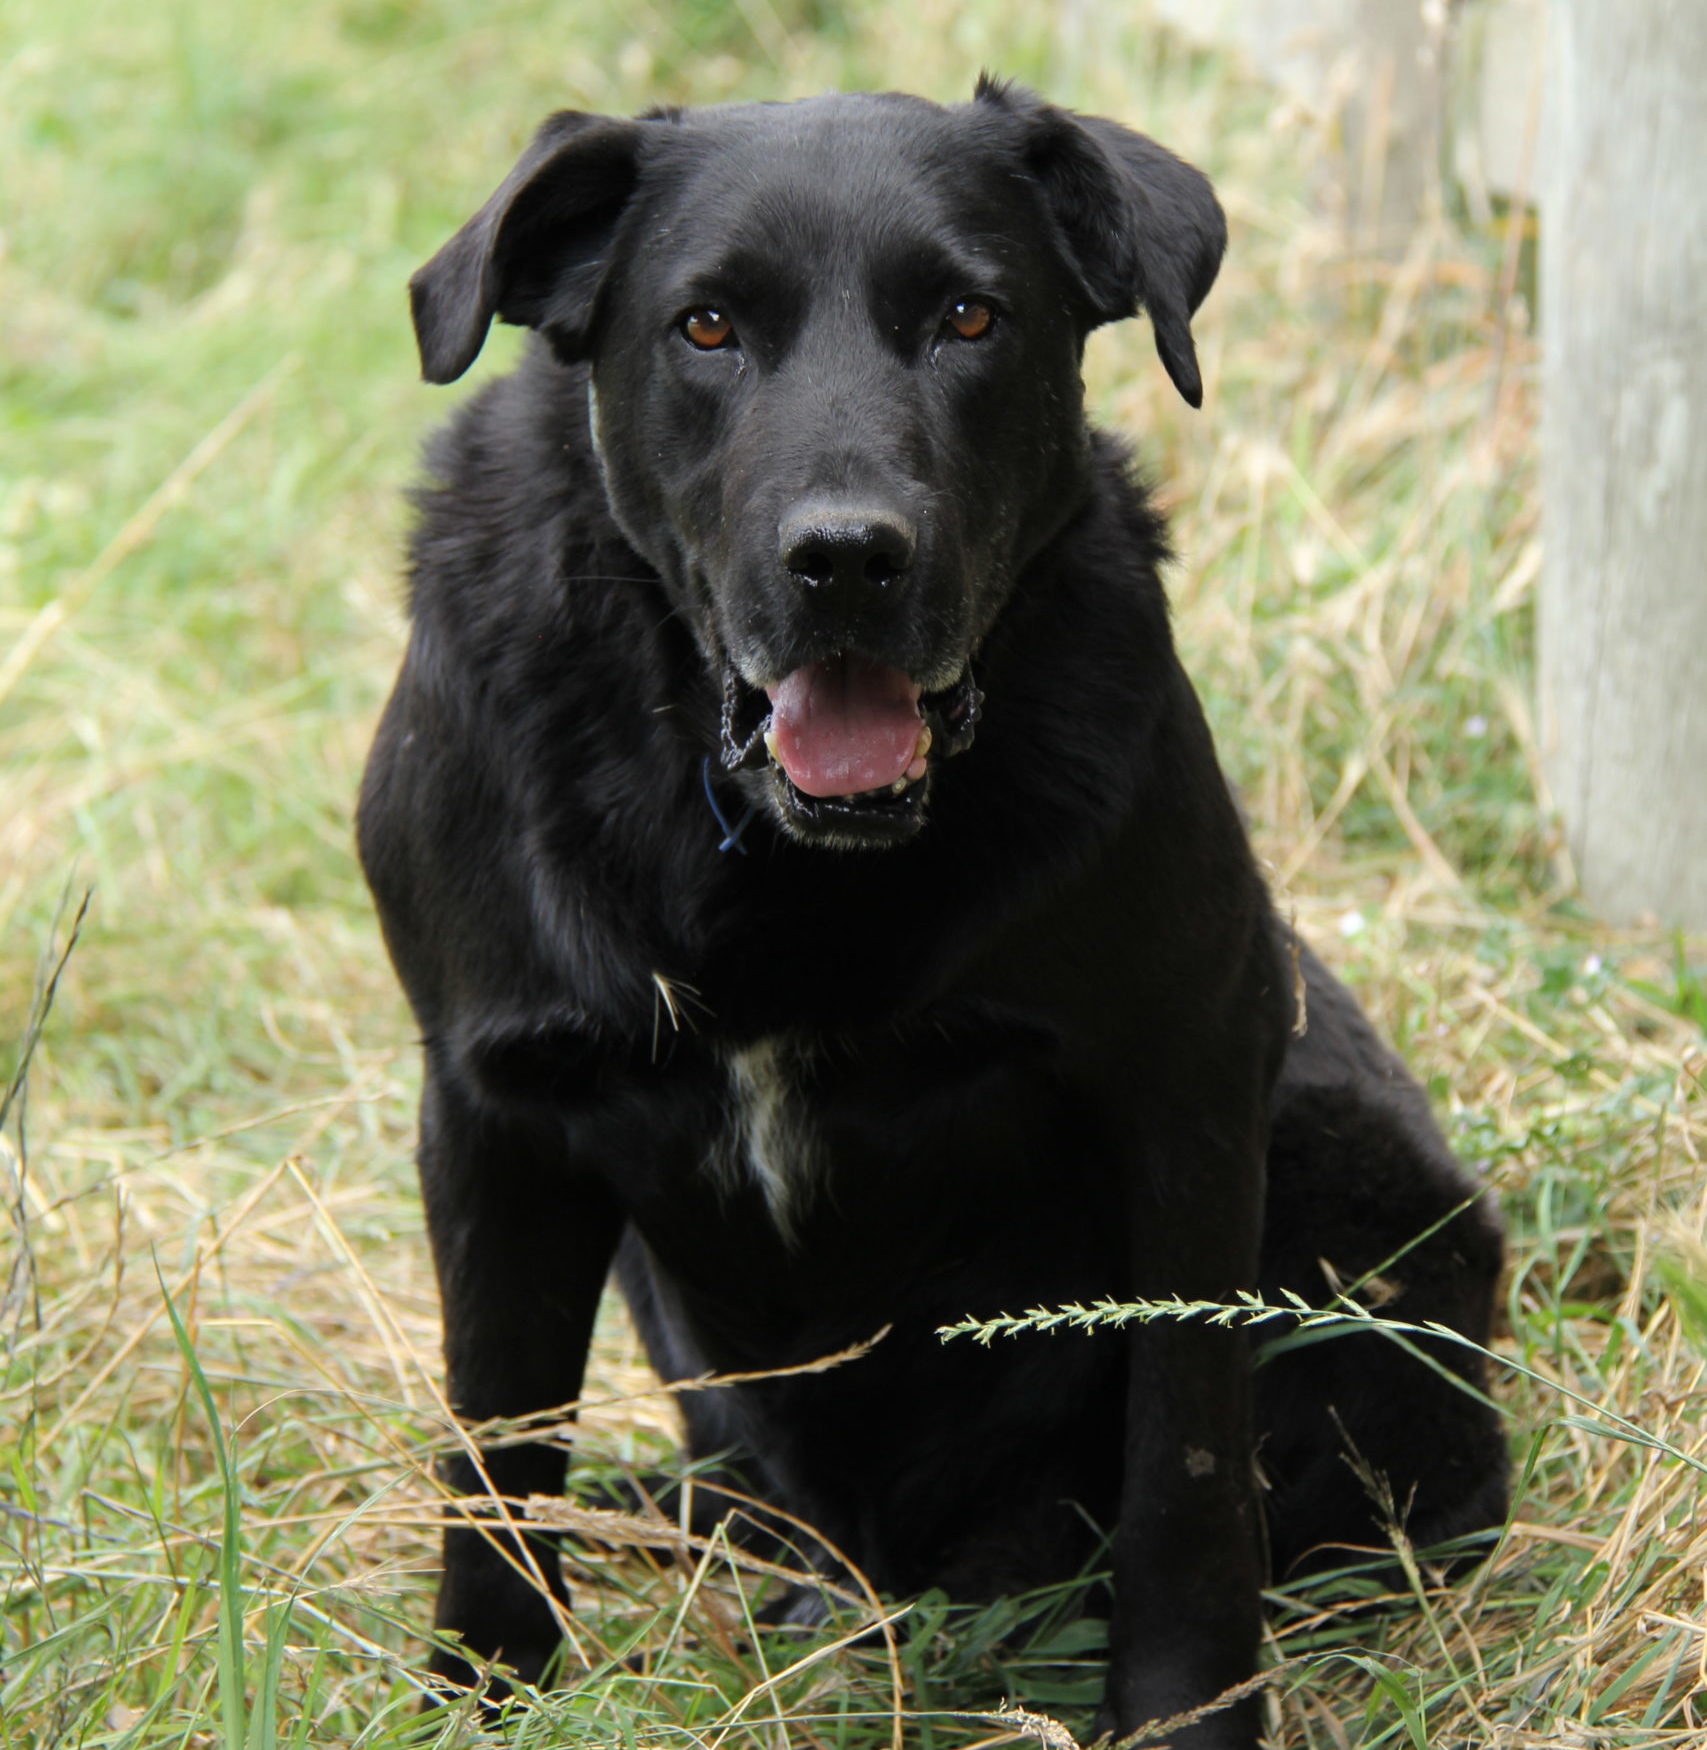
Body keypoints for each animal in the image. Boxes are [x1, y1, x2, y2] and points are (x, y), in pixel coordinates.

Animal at [364, 82, 1505, 1750]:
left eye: (970, 316)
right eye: (705, 325)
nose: (844, 558)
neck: (772, 853)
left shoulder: (1182, 1083)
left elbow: (1182, 1473)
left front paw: (1185, 1711)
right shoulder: (493, 1108)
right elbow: (496, 1462)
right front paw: (479, 1692)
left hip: (1357, 1181)